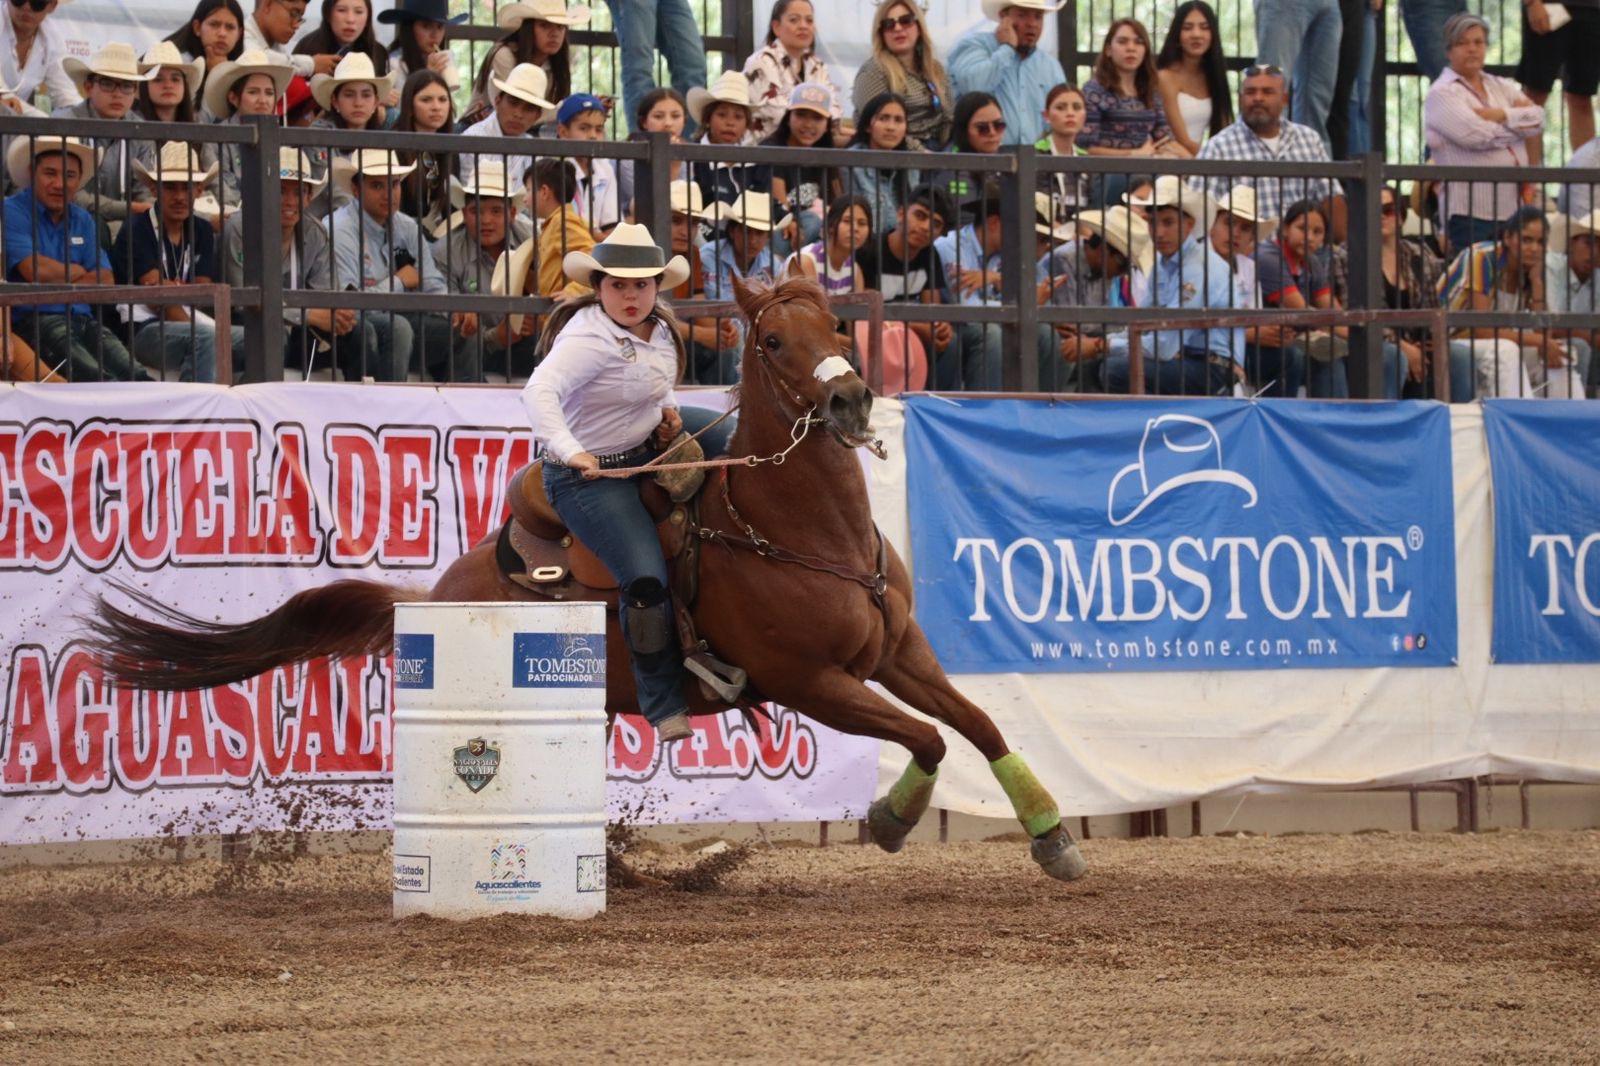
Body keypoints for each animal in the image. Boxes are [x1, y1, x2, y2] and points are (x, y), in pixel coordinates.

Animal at [87, 270, 1088, 877]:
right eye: (772, 341)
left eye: (837, 323)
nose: (848, 399)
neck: (802, 531)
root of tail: (437, 592)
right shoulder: (812, 681)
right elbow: (925, 740)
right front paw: (888, 822)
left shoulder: (899, 651)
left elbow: (977, 723)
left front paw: (1053, 840)